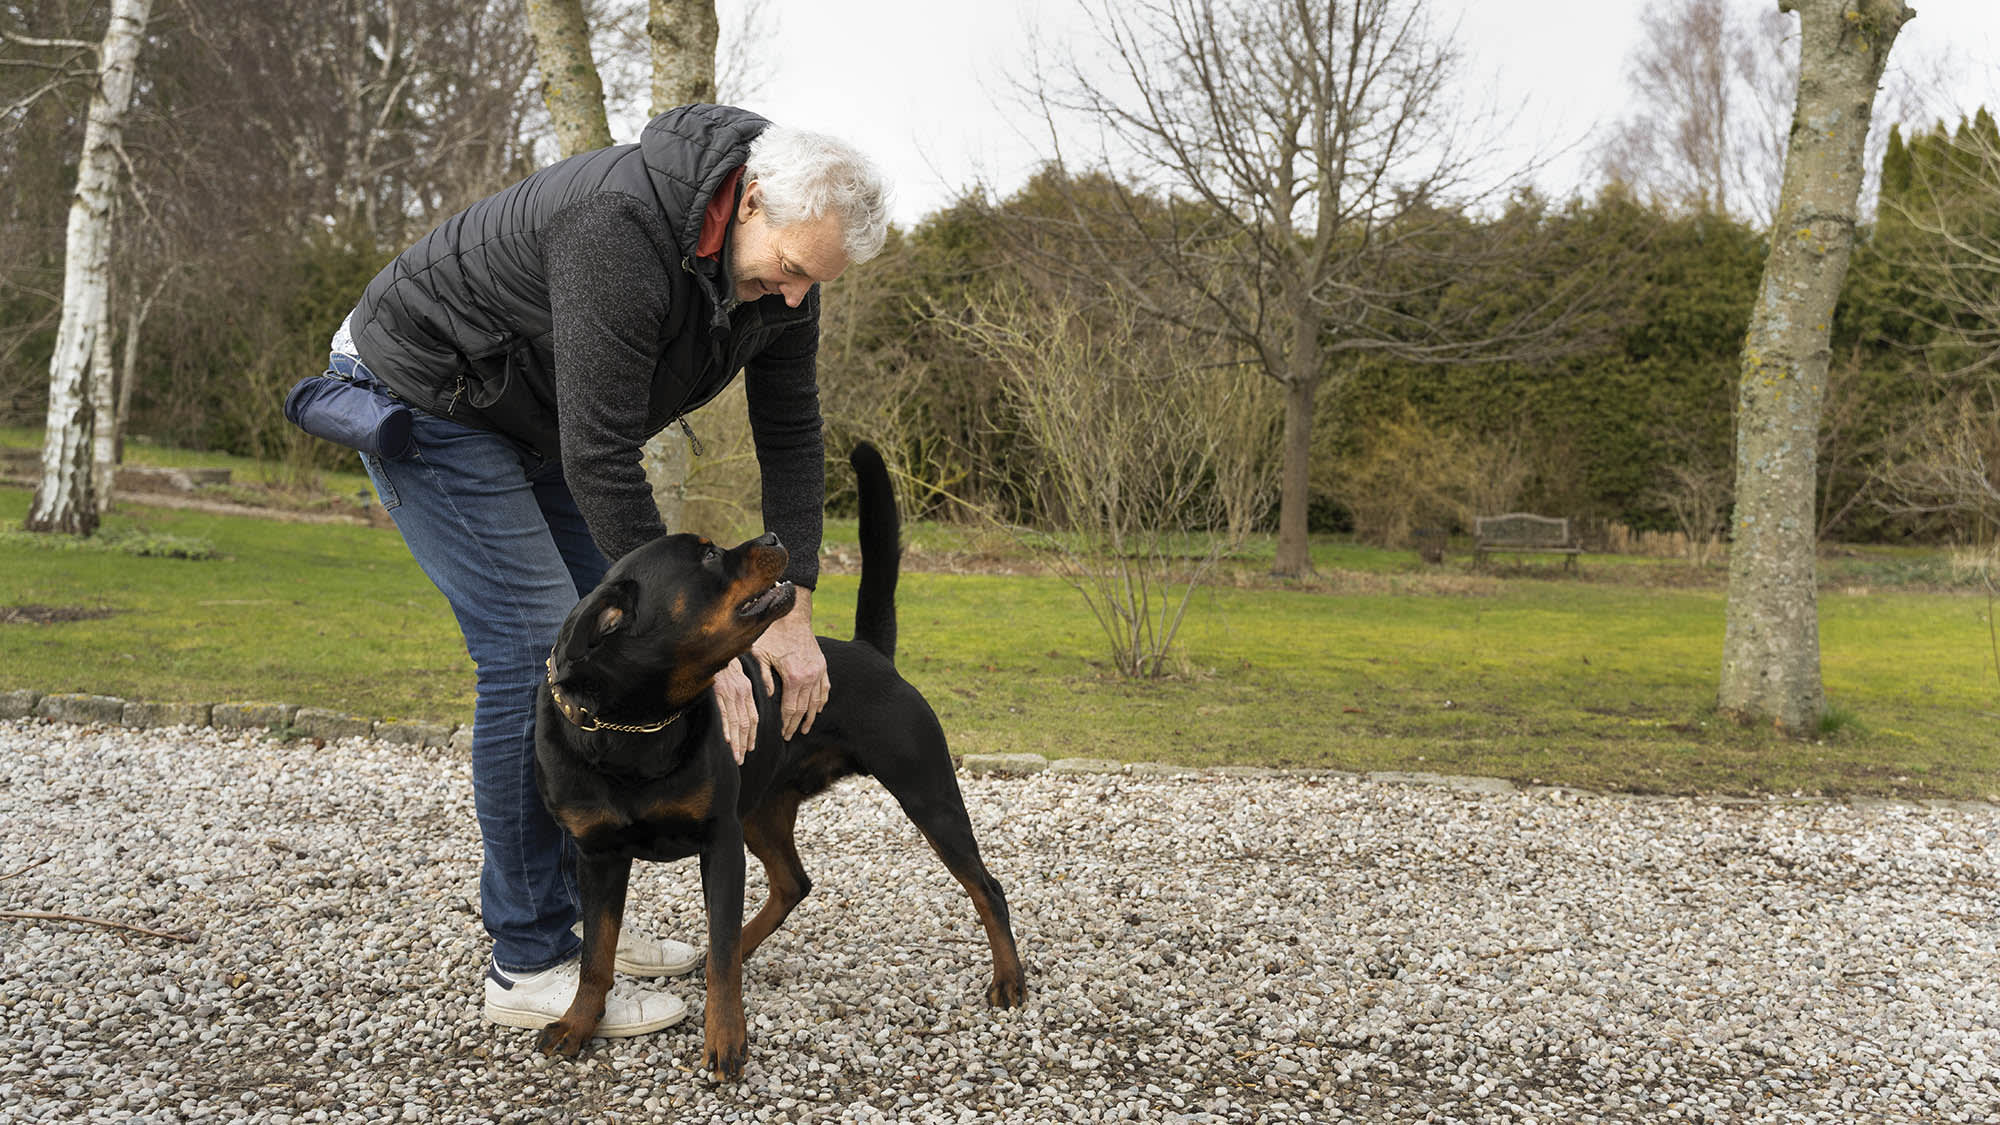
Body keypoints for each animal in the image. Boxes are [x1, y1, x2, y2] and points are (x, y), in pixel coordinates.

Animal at [528, 442, 1024, 1072]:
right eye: (709, 555)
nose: (770, 535)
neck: (635, 727)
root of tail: (868, 651)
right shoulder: (598, 855)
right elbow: (596, 954)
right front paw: (577, 1023)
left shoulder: (718, 842)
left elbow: (714, 954)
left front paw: (725, 1037)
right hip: (762, 811)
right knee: (792, 884)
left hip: (927, 795)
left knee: (987, 888)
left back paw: (1009, 980)